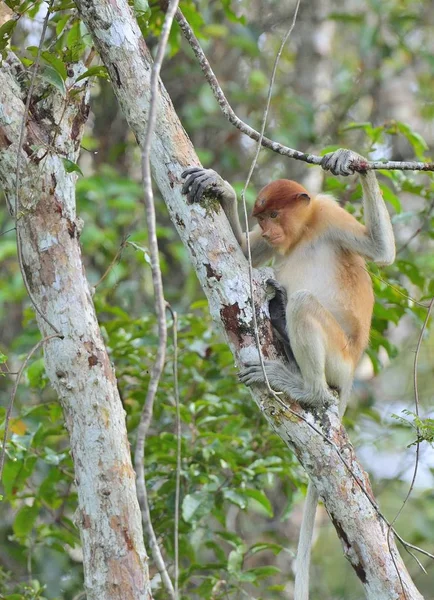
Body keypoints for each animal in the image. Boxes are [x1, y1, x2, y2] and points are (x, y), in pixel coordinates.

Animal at [180, 149, 394, 600]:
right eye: (262, 217)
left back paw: (305, 386)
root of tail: (354, 367)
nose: (269, 229)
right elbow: (244, 255)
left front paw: (349, 160)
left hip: (338, 355)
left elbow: (379, 250)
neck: (306, 229)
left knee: (305, 304)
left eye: (275, 214)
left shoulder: (330, 214)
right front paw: (218, 186)